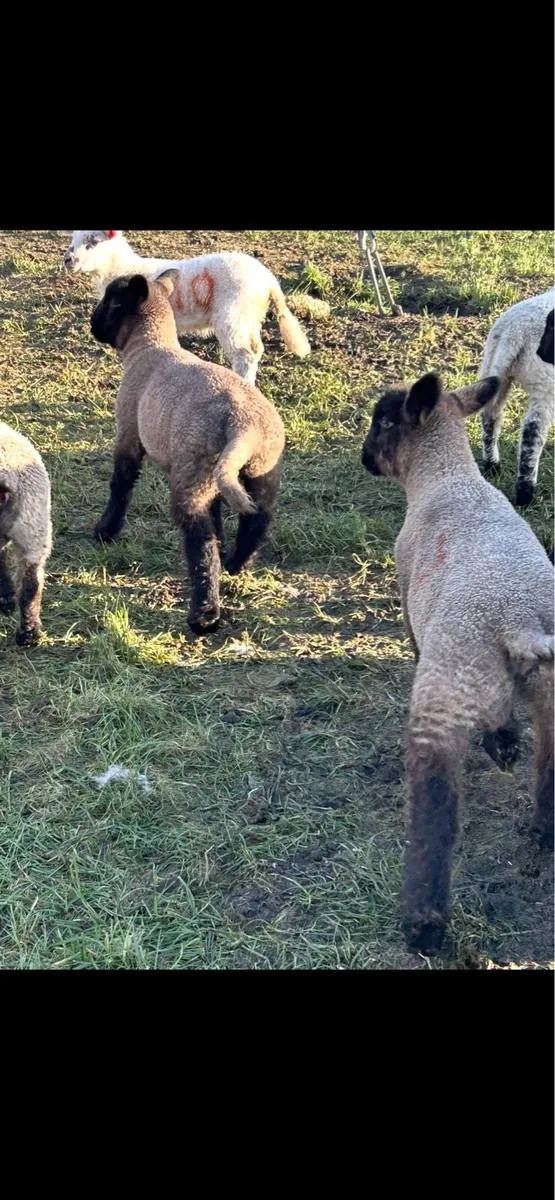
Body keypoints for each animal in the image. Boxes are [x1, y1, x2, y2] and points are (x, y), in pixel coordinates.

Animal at [64, 230, 311, 385]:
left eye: (94, 241)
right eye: (73, 237)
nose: (68, 259)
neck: (122, 267)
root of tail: (269, 282)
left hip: (233, 315)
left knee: (246, 354)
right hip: (249, 318)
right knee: (256, 348)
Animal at [89, 271, 285, 636]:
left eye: (111, 301)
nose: (92, 325)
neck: (151, 345)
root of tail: (243, 426)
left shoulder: (128, 434)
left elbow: (121, 484)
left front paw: (105, 531)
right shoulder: (213, 482)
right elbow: (218, 513)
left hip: (193, 475)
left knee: (200, 545)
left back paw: (204, 614)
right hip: (254, 471)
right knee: (258, 518)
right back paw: (236, 563)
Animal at [362, 372, 554, 955]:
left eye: (384, 421)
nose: (364, 459)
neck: (448, 480)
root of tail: (521, 624)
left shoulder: (410, 607)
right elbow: (500, 719)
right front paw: (504, 743)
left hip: (442, 693)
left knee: (435, 813)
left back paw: (424, 927)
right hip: (547, 694)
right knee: (549, 765)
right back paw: (544, 832)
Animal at [478, 287, 554, 507]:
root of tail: (513, 334)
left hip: (494, 368)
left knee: (490, 417)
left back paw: (492, 466)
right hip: (543, 383)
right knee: (533, 431)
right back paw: (525, 494)